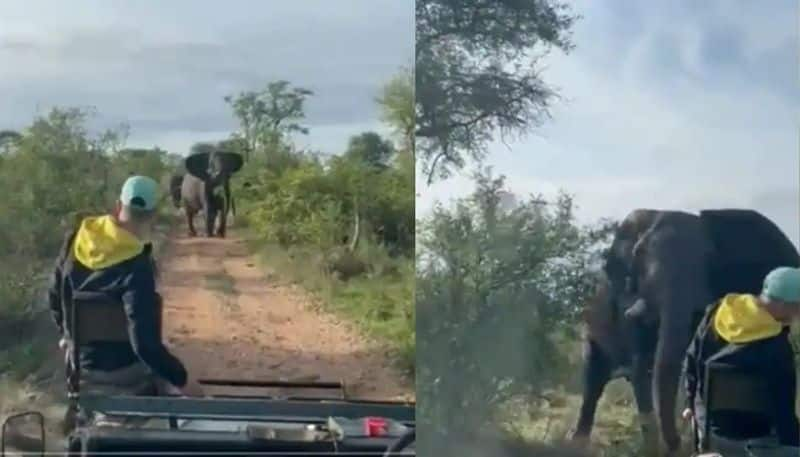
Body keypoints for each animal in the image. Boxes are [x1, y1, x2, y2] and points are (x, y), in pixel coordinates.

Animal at [572, 208, 796, 454]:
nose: (678, 444)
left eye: (708, 255)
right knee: (593, 381)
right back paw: (576, 444)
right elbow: (640, 365)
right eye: (640, 253)